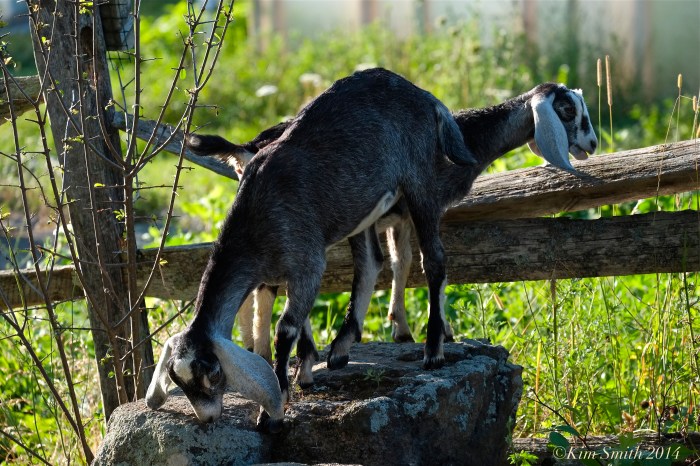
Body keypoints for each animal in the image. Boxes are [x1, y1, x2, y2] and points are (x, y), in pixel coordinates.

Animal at [146, 67, 479, 429]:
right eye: (178, 381)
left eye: (211, 373)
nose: (207, 417)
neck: (256, 222)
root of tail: (423, 95)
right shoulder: (269, 279)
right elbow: (264, 327)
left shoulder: (308, 265)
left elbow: (284, 328)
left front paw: (274, 407)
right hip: (362, 208)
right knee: (370, 262)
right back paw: (342, 347)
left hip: (420, 181)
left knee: (433, 259)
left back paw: (433, 350)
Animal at [188, 81, 598, 377]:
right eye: (567, 110)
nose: (592, 143)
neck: (465, 137)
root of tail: (246, 149)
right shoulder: (422, 203)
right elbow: (428, 264)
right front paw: (431, 344)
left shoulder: (396, 219)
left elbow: (400, 263)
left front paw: (406, 328)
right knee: (270, 285)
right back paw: (287, 354)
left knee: (260, 286)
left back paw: (258, 350)